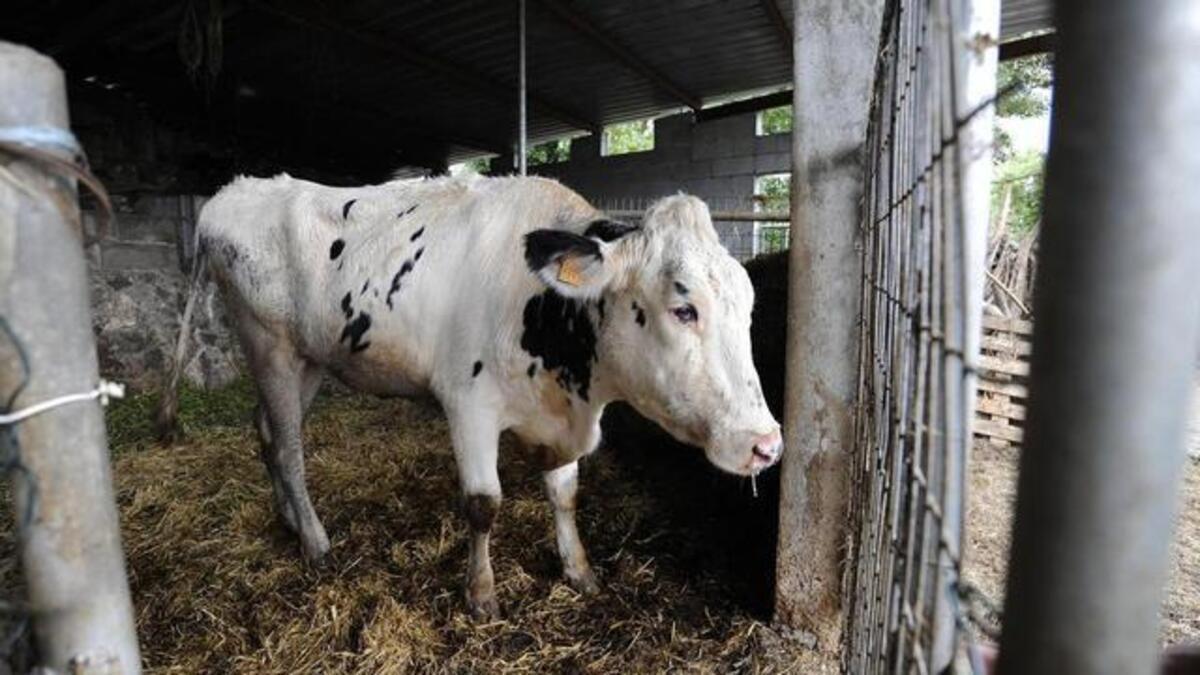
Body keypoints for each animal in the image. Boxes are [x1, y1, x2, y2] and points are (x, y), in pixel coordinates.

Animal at [157, 174, 782, 619]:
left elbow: (564, 494)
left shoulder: (559, 410)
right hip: (271, 349)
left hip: (310, 358)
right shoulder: (469, 406)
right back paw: (315, 542)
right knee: (287, 448)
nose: (766, 444)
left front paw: (578, 570)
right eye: (683, 308)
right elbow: (484, 504)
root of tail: (232, 191)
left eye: (751, 305)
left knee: (266, 433)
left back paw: (289, 519)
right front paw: (480, 594)